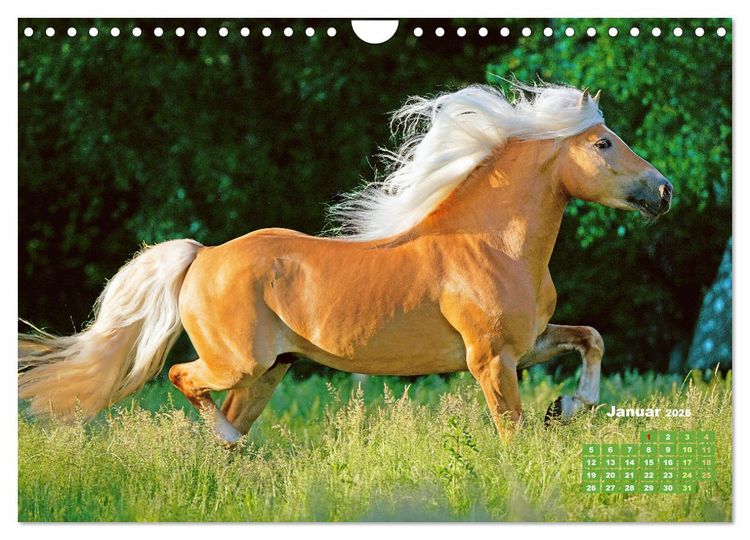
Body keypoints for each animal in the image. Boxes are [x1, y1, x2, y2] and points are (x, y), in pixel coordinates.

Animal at [18, 83, 673, 444]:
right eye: (603, 143)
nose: (664, 191)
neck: (493, 247)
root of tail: (203, 256)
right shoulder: (490, 359)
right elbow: (512, 434)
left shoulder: (528, 344)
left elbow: (591, 339)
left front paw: (567, 407)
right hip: (238, 363)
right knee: (185, 379)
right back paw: (232, 442)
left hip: (269, 371)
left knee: (222, 420)